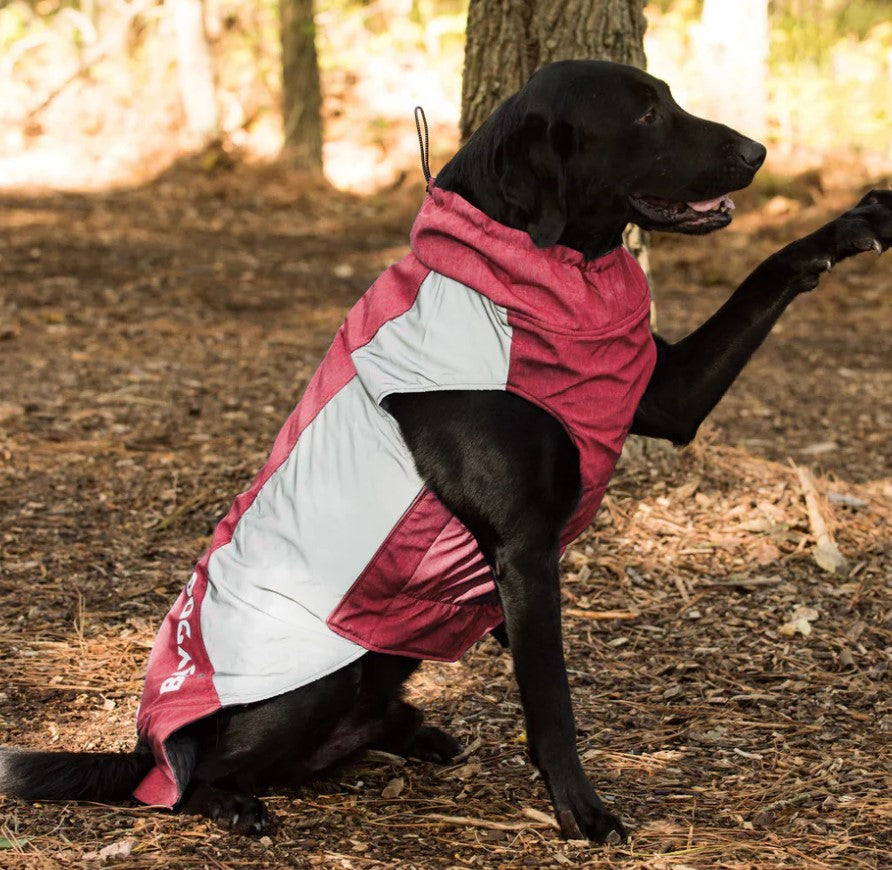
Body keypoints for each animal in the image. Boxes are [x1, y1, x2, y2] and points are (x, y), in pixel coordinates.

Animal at [1, 61, 892, 844]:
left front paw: (856, 223)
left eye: (668, 98)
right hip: (310, 676)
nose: (758, 152)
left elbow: (771, 268)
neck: (533, 278)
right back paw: (233, 801)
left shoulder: (668, 394)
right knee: (185, 777)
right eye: (644, 114)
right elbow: (552, 700)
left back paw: (416, 734)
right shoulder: (525, 549)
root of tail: (149, 735)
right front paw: (581, 811)